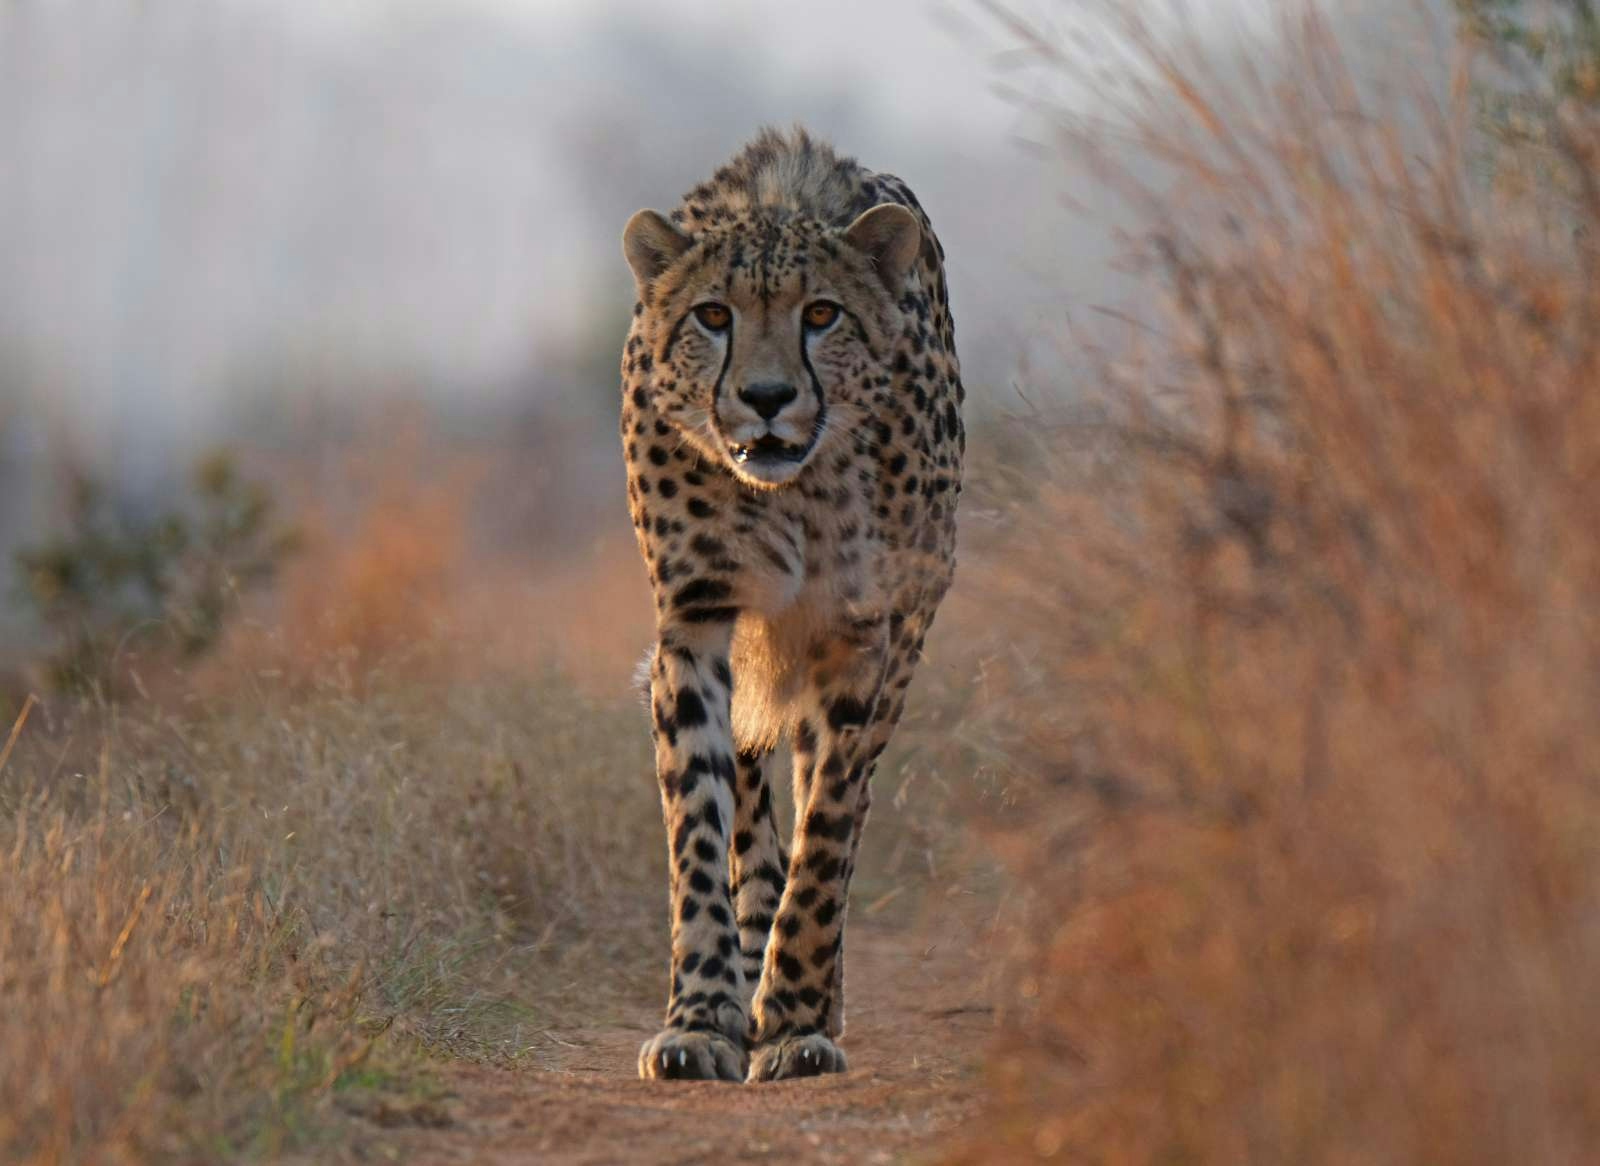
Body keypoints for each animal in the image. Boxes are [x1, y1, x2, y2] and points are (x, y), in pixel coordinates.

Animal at [614, 127, 960, 1081]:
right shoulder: (693, 624)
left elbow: (830, 822)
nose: (766, 399)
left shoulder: (863, 632)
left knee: (830, 801)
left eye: (822, 315)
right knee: (752, 804)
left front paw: (797, 1013)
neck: (787, 492)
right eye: (712, 316)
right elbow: (699, 825)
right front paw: (702, 1015)